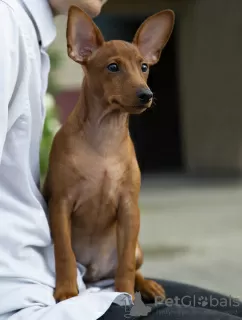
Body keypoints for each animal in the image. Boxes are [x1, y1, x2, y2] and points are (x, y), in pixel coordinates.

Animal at [43, 6, 175, 302]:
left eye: (144, 67)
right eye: (113, 67)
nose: (146, 94)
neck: (105, 136)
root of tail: (95, 271)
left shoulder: (129, 208)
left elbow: (125, 265)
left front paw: (125, 293)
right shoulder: (60, 205)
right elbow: (64, 253)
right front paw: (66, 290)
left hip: (137, 246)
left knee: (133, 266)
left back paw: (148, 286)